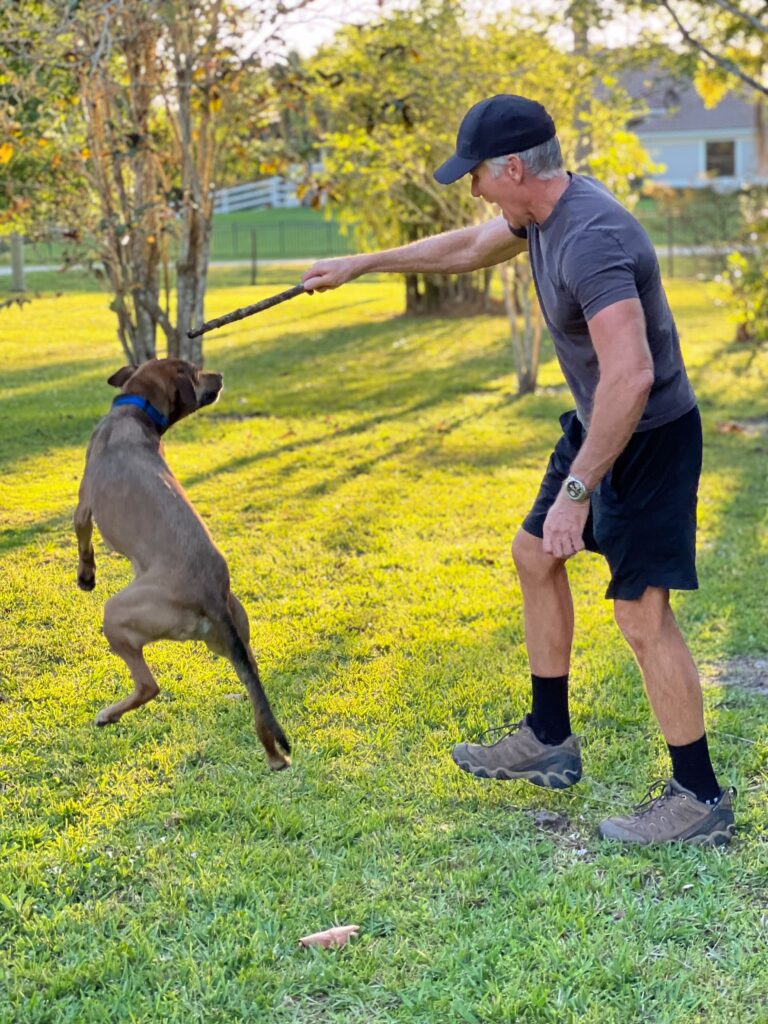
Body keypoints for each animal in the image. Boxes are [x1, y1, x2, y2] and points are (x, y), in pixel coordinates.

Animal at [74, 358, 290, 770]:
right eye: (197, 372)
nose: (219, 376)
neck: (137, 409)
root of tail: (211, 597)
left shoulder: (83, 507)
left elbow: (82, 539)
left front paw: (86, 577)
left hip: (118, 613)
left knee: (149, 686)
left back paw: (108, 715)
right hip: (232, 642)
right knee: (256, 695)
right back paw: (274, 757)